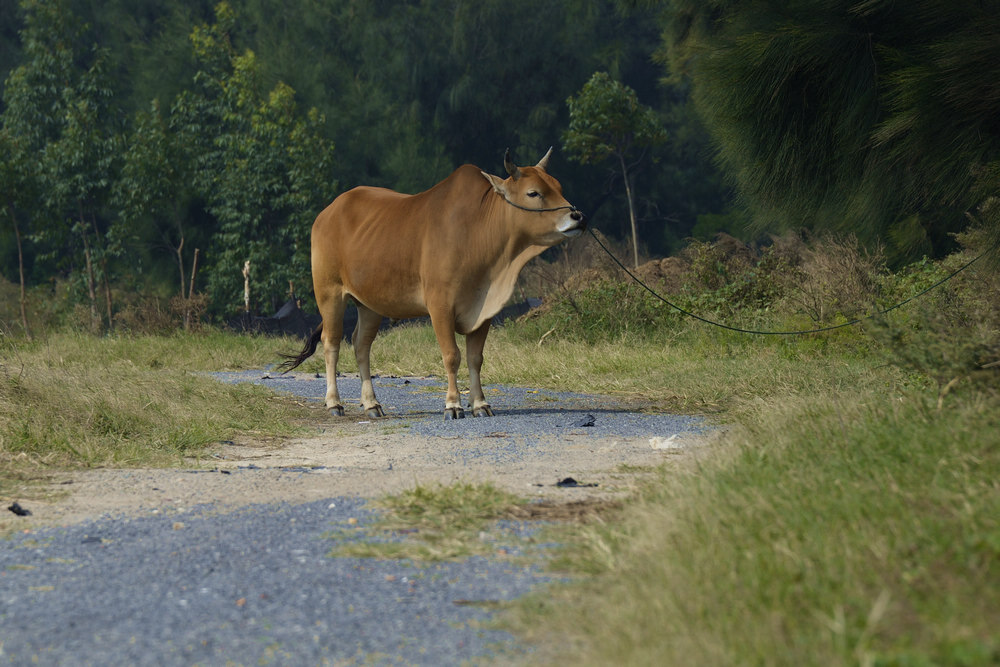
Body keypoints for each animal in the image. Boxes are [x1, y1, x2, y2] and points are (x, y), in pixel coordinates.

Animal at [280, 149, 584, 420]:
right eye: (533, 193)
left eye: (558, 186)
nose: (577, 217)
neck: (477, 231)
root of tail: (328, 212)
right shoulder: (440, 306)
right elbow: (451, 356)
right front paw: (453, 405)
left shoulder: (483, 311)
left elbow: (475, 358)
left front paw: (480, 404)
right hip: (330, 294)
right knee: (331, 343)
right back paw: (334, 403)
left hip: (370, 305)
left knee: (361, 345)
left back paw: (371, 404)